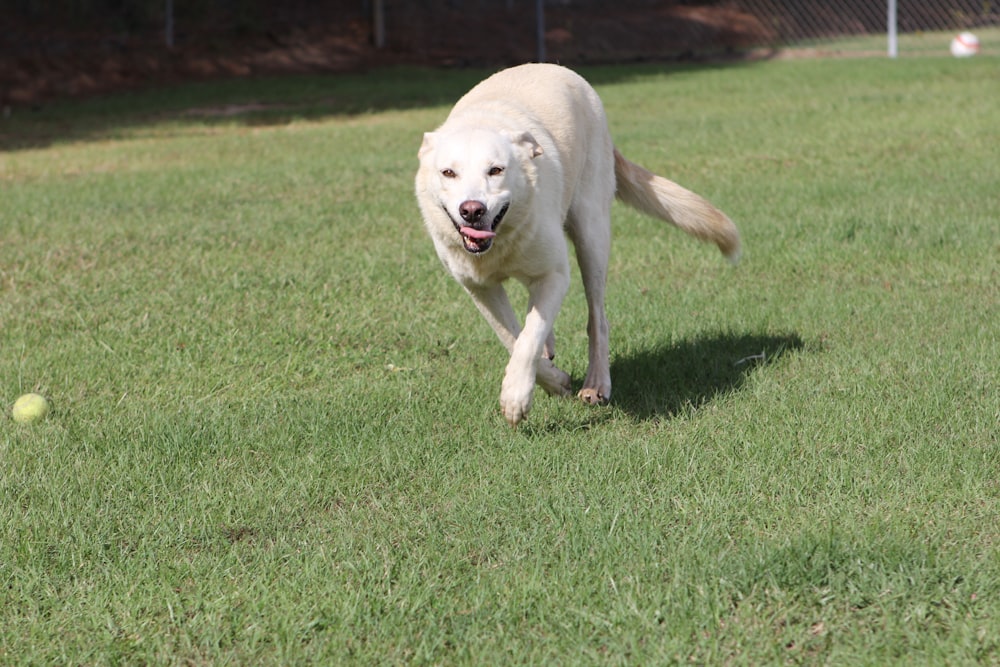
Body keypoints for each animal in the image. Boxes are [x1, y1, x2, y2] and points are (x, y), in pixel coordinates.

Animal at [416, 64, 744, 428]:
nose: (472, 210)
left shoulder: (555, 274)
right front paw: (550, 379)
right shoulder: (479, 288)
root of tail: (559, 68)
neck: (500, 243)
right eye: (448, 173)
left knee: (597, 318)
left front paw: (518, 397)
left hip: (591, 235)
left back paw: (596, 384)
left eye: (496, 170)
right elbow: (512, 336)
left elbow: (528, 339)